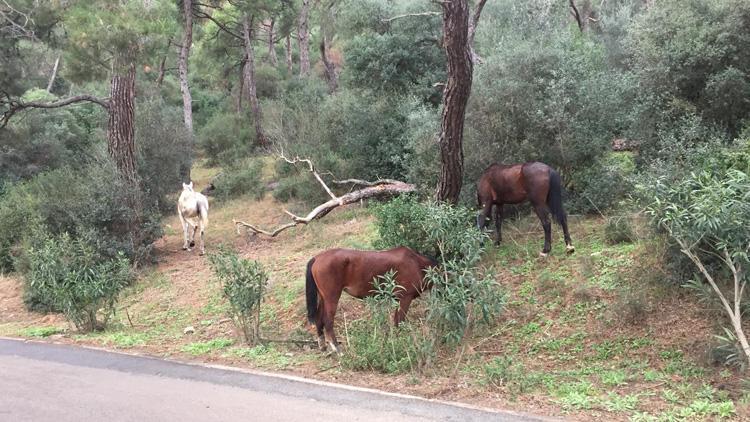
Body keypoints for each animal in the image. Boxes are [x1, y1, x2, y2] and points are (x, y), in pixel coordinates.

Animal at [306, 246, 440, 354]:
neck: (417, 264)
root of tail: (317, 258)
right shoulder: (405, 299)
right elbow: (400, 321)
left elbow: (396, 321)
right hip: (332, 297)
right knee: (328, 321)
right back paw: (338, 349)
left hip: (323, 298)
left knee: (319, 319)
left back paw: (323, 346)